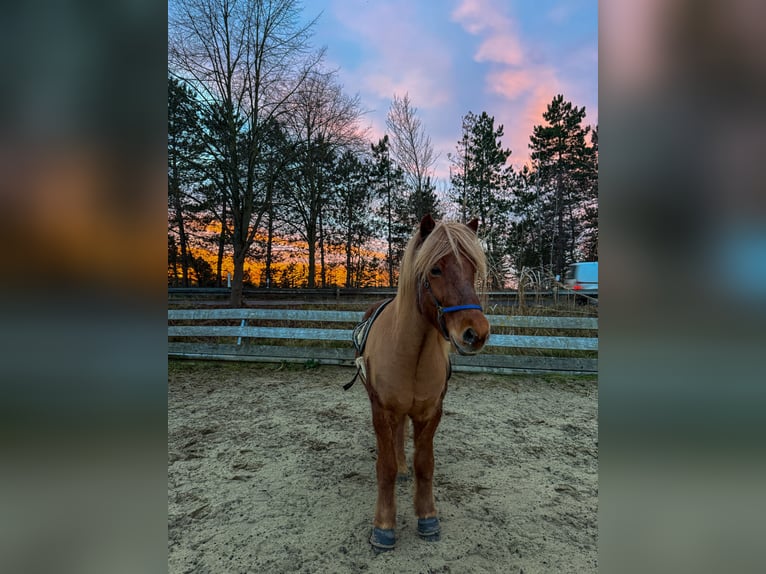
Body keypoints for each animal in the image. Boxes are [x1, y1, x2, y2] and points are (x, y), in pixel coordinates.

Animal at [355, 214, 490, 552]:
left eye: (472, 268)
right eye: (435, 269)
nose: (476, 333)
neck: (411, 352)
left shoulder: (430, 413)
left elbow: (425, 464)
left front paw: (428, 518)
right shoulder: (381, 410)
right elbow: (385, 467)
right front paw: (383, 527)